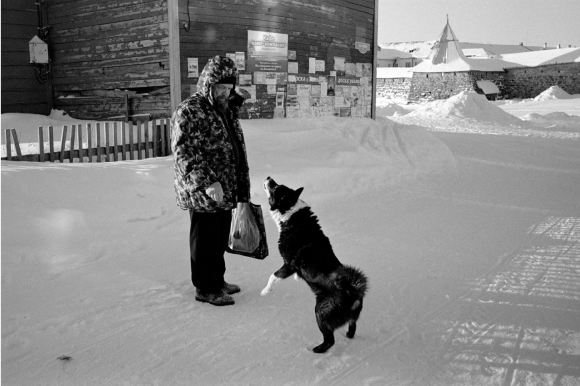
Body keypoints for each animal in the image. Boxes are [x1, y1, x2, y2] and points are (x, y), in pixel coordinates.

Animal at [262, 177, 368, 352]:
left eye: (275, 188)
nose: (269, 178)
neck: (292, 216)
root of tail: (353, 292)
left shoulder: (288, 264)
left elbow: (273, 276)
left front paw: (265, 291)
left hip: (320, 313)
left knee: (330, 340)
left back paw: (318, 349)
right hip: (350, 317)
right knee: (352, 326)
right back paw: (348, 335)